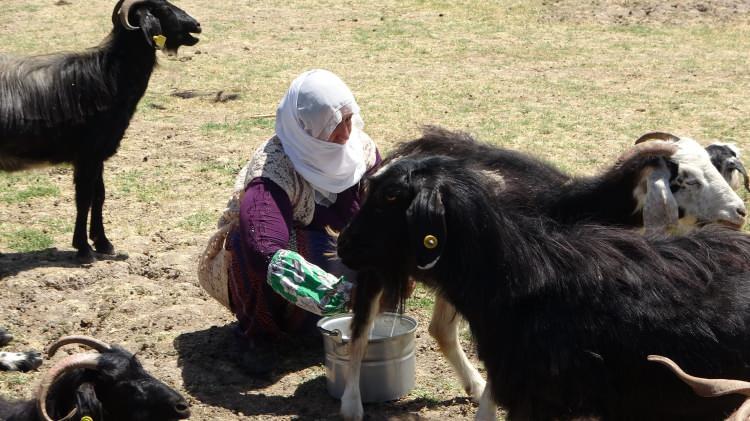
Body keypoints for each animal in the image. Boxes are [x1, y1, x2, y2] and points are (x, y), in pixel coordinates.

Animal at [0, 0, 203, 260]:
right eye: (163, 9)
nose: (196, 25)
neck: (110, 75)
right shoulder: (87, 154)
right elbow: (84, 198)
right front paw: (84, 248)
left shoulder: (98, 156)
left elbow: (99, 196)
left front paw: (103, 243)